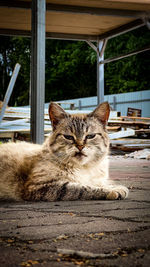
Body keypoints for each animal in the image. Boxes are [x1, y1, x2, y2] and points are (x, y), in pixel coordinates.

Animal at [0, 101, 128, 202]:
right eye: (68, 137)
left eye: (90, 136)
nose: (80, 146)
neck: (84, 169)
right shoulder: (39, 186)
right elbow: (83, 187)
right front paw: (114, 190)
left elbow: (101, 183)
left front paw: (113, 187)